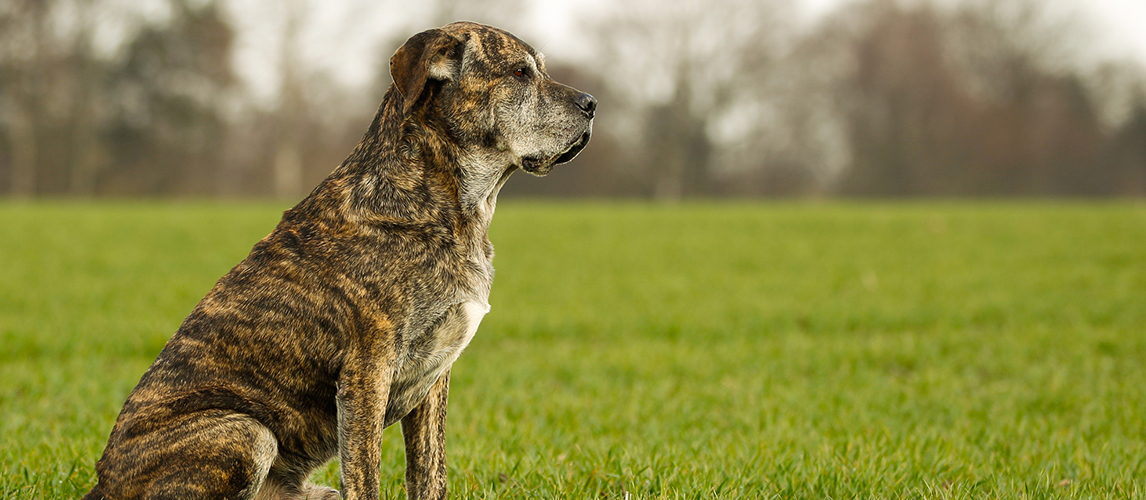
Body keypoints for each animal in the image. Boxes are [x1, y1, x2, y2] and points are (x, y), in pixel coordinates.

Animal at [84, 21, 595, 499]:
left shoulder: (434, 380)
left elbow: (430, 475)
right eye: (519, 73)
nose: (591, 103)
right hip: (247, 431)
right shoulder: (367, 372)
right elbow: (366, 476)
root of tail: (102, 484)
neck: (446, 204)